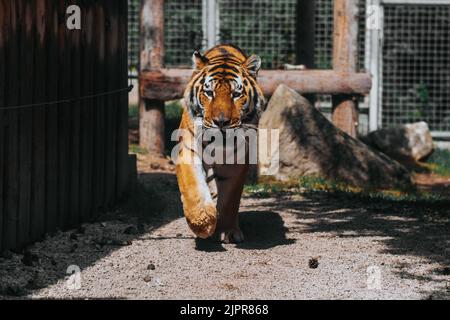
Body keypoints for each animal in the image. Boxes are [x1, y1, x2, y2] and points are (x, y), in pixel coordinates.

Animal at [175, 44, 268, 242]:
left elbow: (229, 200)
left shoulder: (236, 162)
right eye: (209, 93)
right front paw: (202, 223)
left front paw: (227, 231)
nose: (221, 122)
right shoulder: (187, 148)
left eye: (236, 94)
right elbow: (193, 185)